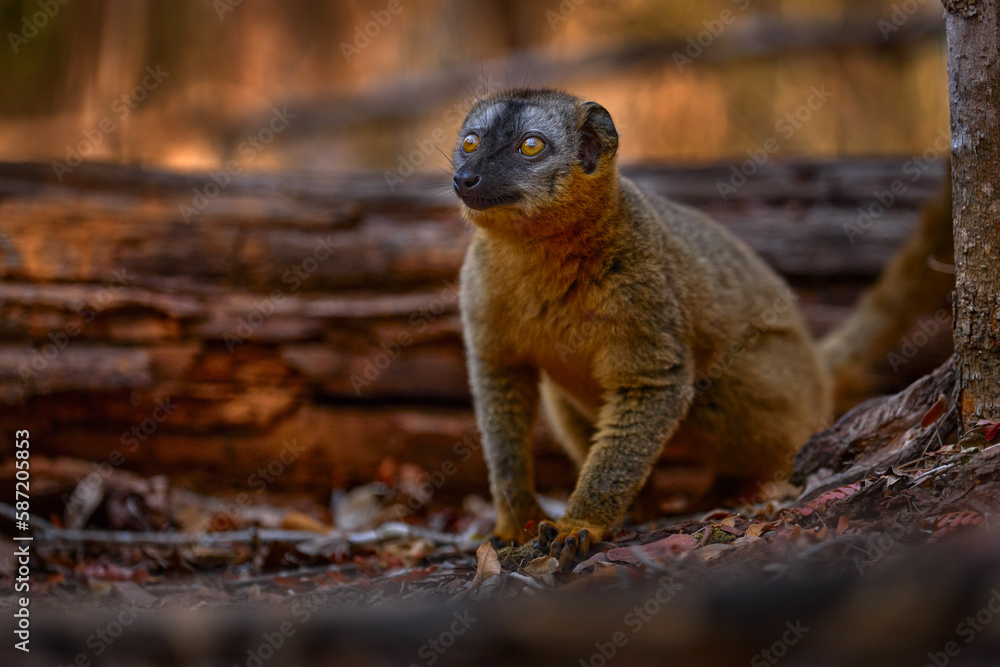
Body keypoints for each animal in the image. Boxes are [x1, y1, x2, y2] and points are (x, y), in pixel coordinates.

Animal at [452, 88, 947, 568]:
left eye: (530, 146)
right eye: (470, 143)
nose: (464, 178)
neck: (537, 251)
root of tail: (814, 368)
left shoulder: (640, 275)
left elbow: (655, 382)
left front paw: (581, 523)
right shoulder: (479, 281)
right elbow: (498, 377)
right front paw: (516, 520)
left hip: (786, 393)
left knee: (715, 391)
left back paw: (741, 486)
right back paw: (644, 506)